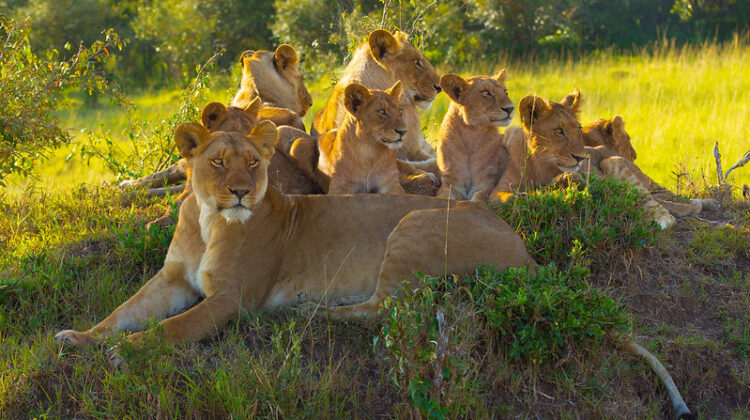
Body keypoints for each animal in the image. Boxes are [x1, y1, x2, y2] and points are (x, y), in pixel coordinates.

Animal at [54, 119, 536, 348]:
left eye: (253, 162)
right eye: (217, 162)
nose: (241, 192)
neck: (209, 220)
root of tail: (525, 251)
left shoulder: (232, 298)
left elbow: (172, 327)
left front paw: (131, 350)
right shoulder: (172, 280)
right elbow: (123, 312)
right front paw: (80, 338)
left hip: (414, 222)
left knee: (383, 309)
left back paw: (308, 313)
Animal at [438, 71, 516, 203]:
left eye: (505, 91)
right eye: (486, 92)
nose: (510, 109)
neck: (471, 132)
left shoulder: (485, 183)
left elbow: (478, 199)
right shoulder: (452, 182)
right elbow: (444, 196)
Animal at [494, 91, 716, 230]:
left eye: (578, 129)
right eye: (559, 131)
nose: (581, 157)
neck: (541, 162)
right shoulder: (499, 188)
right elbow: (505, 198)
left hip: (612, 162)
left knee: (664, 212)